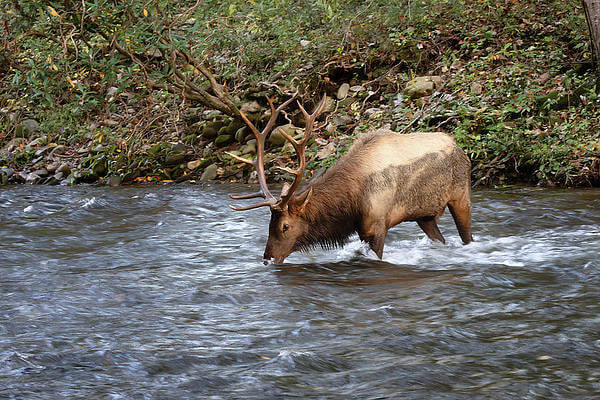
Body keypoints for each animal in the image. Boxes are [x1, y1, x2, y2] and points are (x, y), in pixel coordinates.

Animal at [227, 92, 472, 264]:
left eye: (285, 226)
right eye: (269, 223)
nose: (267, 258)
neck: (351, 203)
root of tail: (459, 147)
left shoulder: (376, 226)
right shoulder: (362, 231)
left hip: (461, 196)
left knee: (467, 235)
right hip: (425, 215)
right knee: (440, 237)